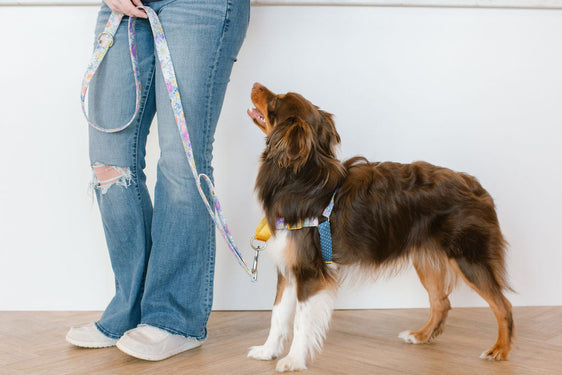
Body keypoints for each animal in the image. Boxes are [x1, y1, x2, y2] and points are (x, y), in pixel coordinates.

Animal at [245, 83, 512, 374]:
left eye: (276, 100)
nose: (255, 85)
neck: (300, 175)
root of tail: (476, 187)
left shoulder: (309, 271)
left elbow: (300, 321)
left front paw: (293, 360)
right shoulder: (289, 268)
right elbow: (278, 315)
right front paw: (268, 352)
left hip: (468, 258)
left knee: (503, 304)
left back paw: (500, 350)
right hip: (426, 259)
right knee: (441, 302)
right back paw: (420, 336)